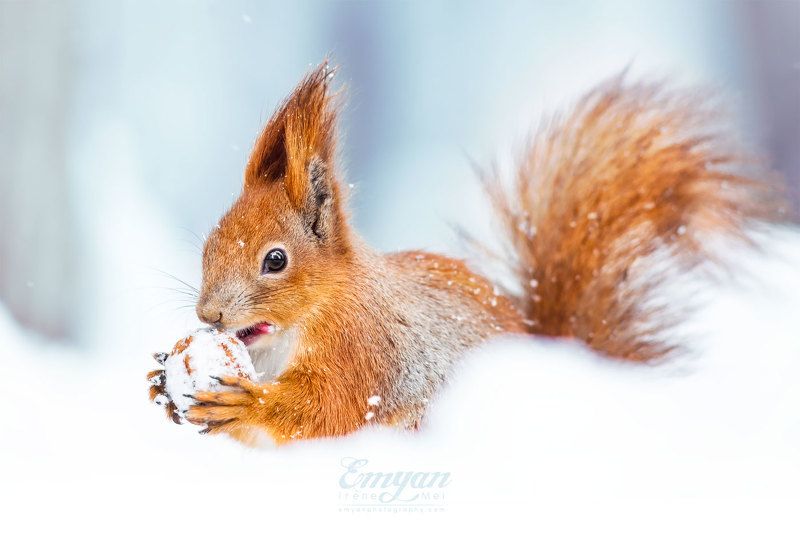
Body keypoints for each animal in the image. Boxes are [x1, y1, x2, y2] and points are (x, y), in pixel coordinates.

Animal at [148, 62, 772, 445]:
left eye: (275, 260)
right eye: (208, 245)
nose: (208, 315)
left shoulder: (364, 350)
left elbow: (327, 408)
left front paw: (246, 407)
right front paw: (162, 379)